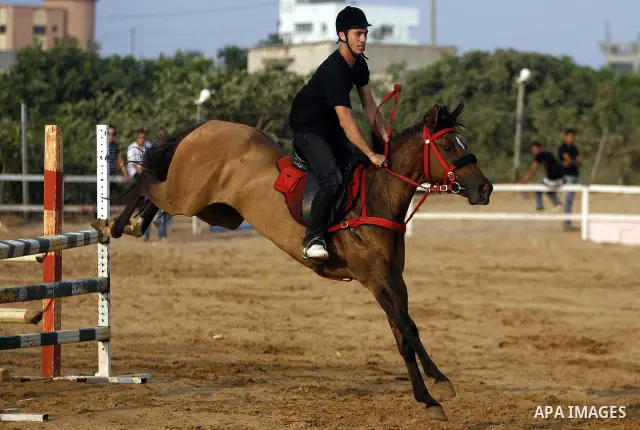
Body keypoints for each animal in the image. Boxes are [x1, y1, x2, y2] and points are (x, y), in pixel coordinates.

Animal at [95, 90, 493, 421]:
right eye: (450, 147)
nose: (485, 188)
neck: (378, 196)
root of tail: (208, 126)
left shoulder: (394, 279)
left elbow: (404, 334)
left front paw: (429, 394)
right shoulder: (374, 278)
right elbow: (408, 329)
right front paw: (438, 386)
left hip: (216, 211)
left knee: (154, 186)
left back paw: (135, 223)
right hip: (188, 196)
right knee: (147, 180)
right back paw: (115, 225)